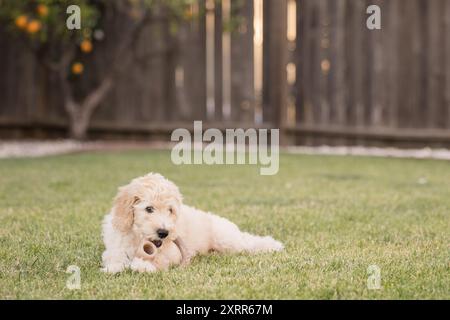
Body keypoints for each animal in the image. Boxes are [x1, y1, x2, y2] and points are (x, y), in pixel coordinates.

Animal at [103, 172, 284, 272]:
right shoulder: (117, 243)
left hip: (229, 242)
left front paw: (143, 266)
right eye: (149, 209)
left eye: (170, 210)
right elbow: (114, 255)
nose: (164, 233)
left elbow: (161, 259)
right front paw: (114, 267)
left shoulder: (172, 252)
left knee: (249, 244)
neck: (137, 237)